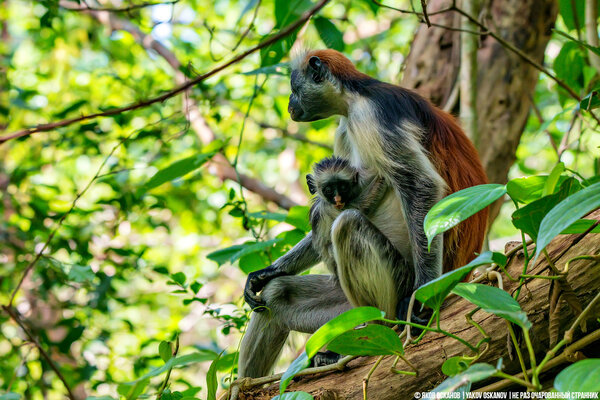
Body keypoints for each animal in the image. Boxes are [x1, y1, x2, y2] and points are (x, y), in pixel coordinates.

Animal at [236, 50, 488, 378]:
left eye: (293, 88)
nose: (291, 102)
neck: (356, 94)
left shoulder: (373, 116)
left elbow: (421, 185)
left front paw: (419, 302)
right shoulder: (345, 130)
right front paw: (267, 272)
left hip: (397, 281)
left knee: (348, 225)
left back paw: (381, 331)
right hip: (344, 309)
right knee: (276, 296)